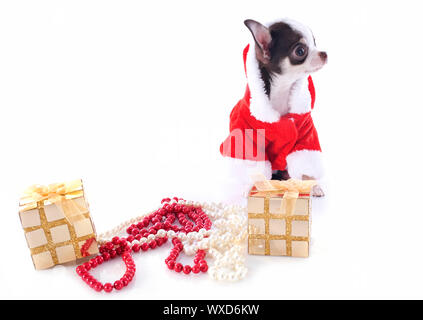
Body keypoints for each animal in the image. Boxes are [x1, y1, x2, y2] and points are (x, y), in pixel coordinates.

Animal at [222, 18, 328, 200]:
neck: (282, 91)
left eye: (315, 43)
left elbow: (306, 165)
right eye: (300, 51)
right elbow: (254, 166)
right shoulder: (247, 137)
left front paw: (312, 185)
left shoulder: (305, 135)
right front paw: (249, 188)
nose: (324, 53)